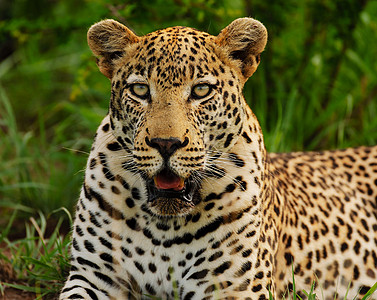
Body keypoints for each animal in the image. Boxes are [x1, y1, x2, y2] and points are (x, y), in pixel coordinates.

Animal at [60, 17, 376, 300]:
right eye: (140, 90)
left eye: (201, 90)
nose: (166, 143)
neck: (164, 227)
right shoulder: (93, 276)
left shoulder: (236, 289)